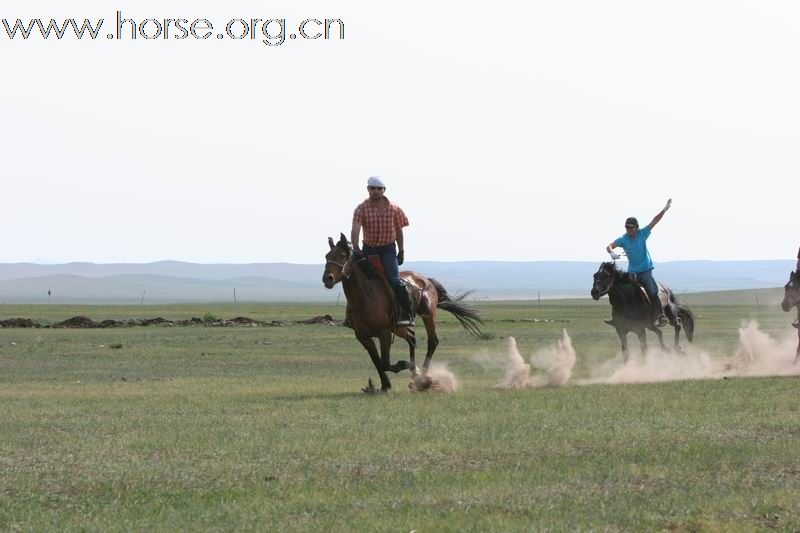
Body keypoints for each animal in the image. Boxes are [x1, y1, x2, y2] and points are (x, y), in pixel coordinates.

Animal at [322, 233, 484, 390]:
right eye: (327, 256)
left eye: (343, 255)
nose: (327, 278)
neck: (365, 297)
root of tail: (426, 280)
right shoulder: (363, 336)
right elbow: (377, 361)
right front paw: (385, 385)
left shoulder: (385, 333)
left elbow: (385, 363)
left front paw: (402, 365)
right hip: (398, 327)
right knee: (412, 337)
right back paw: (416, 372)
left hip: (428, 316)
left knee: (432, 342)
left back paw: (423, 377)